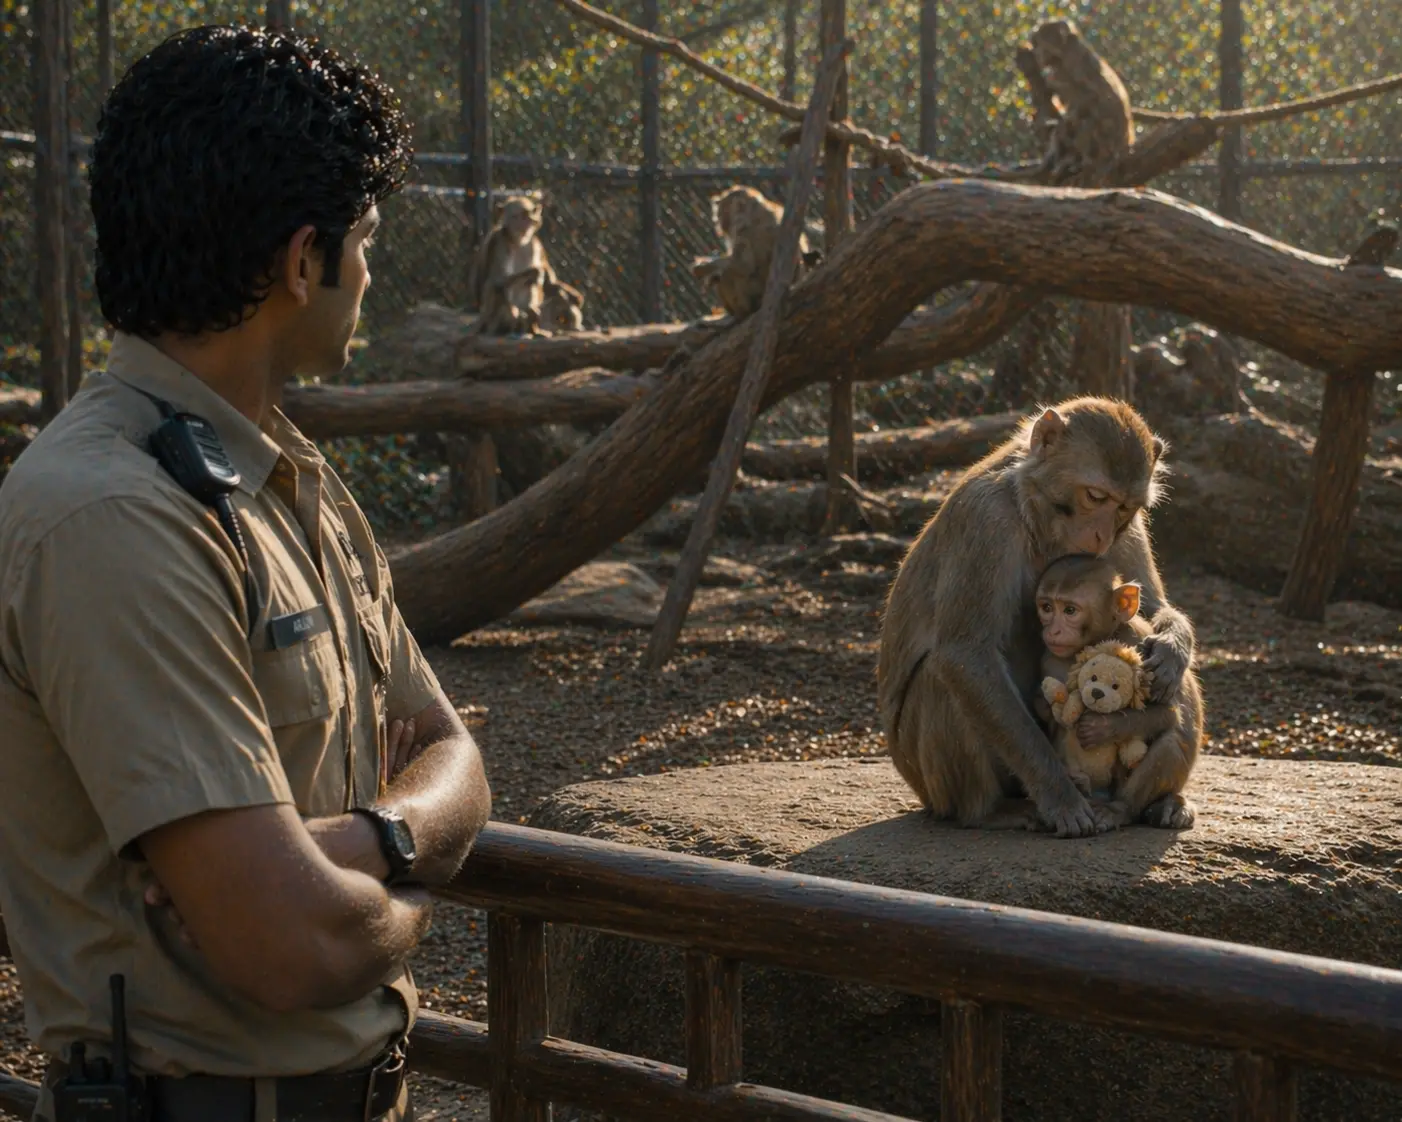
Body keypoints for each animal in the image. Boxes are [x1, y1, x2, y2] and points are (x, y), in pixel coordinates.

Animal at [468, 193, 558, 336]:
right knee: (497, 288)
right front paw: (536, 271)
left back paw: (531, 324)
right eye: (517, 217)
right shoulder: (499, 243)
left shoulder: (534, 245)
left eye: (527, 217)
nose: (526, 225)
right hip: (490, 317)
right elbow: (496, 280)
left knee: (528, 284)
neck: (517, 242)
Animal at [690, 185, 812, 321]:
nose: (719, 226)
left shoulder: (744, 231)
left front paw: (703, 267)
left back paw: (741, 313)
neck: (755, 212)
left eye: (721, 214)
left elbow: (742, 266)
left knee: (728, 274)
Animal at [1027, 20, 1135, 185]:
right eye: (1036, 44)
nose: (1037, 54)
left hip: (1105, 145)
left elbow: (1091, 95)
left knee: (1089, 119)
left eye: (1040, 43)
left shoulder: (1072, 58)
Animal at [1032, 554, 1202, 826]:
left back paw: (1121, 808)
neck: (1098, 641)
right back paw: (1079, 786)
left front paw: (1100, 727)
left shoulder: (1139, 646)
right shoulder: (1050, 658)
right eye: (1046, 607)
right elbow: (1051, 713)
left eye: (1070, 610)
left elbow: (1168, 712)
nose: (1053, 630)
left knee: (1170, 741)